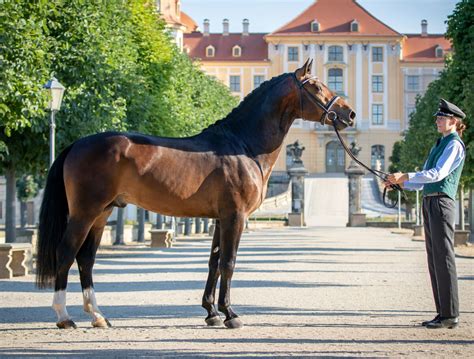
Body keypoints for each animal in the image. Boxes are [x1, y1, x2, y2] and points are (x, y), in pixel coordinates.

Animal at [38, 58, 356, 330]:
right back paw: (64, 317)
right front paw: (230, 314)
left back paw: (98, 316)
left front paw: (211, 312)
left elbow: (214, 262)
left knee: (86, 260)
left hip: (102, 214)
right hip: (85, 213)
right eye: (316, 86)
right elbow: (229, 262)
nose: (349, 114)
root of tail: (77, 143)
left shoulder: (219, 218)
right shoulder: (235, 217)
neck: (242, 146)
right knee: (66, 254)